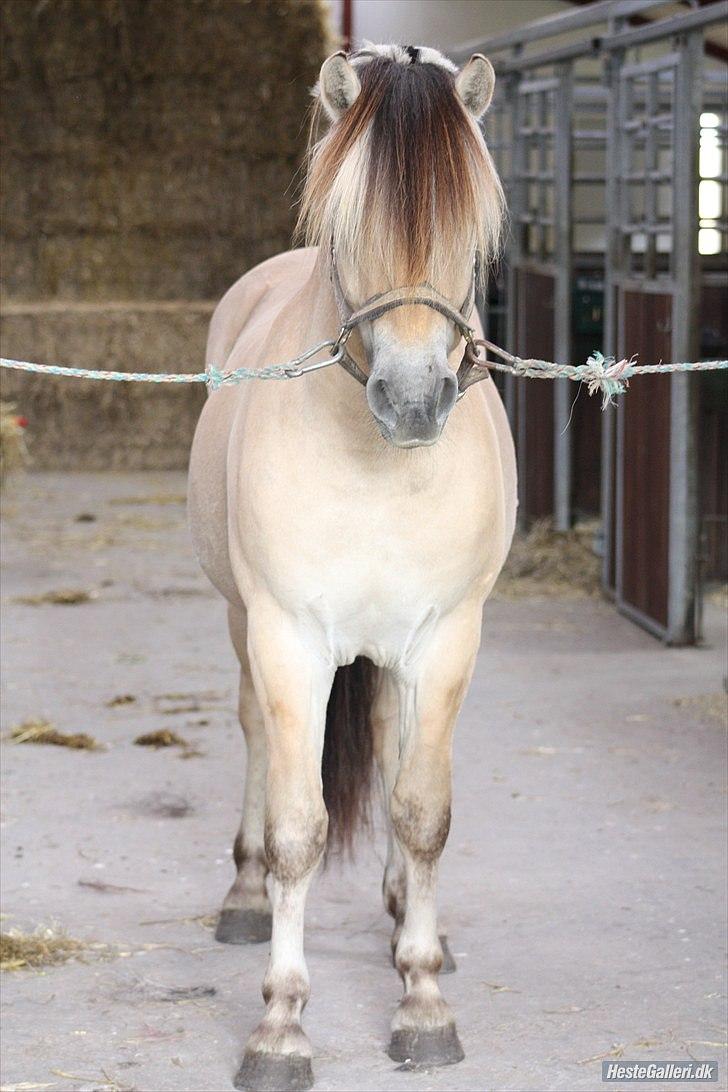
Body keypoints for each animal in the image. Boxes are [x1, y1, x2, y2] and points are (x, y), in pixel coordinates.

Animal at [187, 42, 517, 1092]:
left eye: (471, 228)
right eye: (349, 225)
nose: (413, 402)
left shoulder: (446, 640)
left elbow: (421, 813)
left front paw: (422, 1000)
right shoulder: (288, 638)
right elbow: (300, 827)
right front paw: (281, 1027)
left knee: (392, 738)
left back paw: (407, 916)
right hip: (244, 628)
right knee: (257, 739)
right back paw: (245, 897)